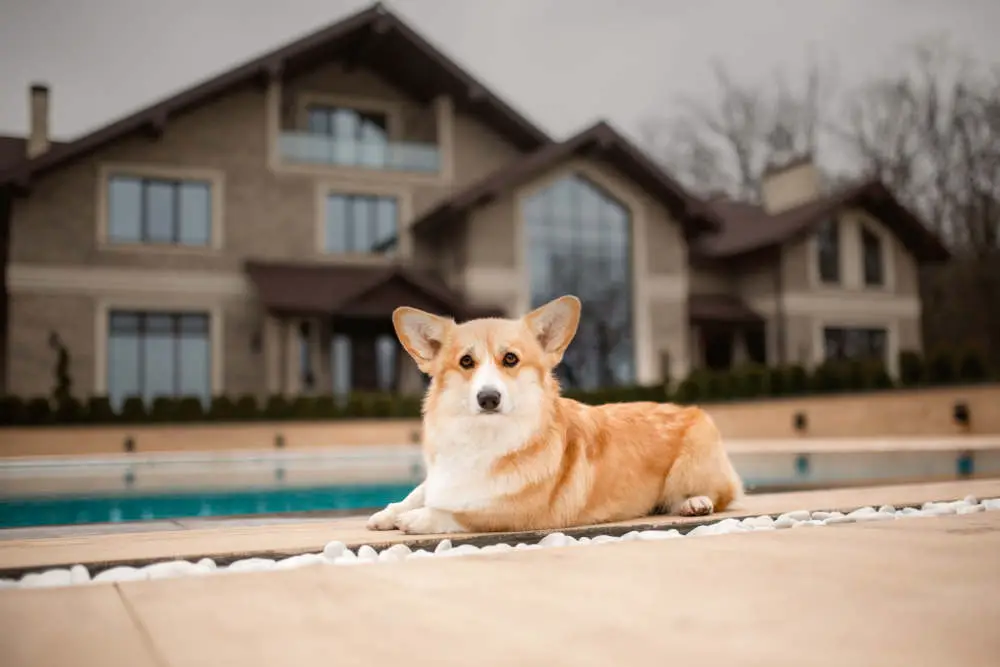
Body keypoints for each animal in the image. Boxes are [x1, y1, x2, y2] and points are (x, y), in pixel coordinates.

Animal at [368, 294, 744, 536]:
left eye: (510, 359)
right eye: (466, 361)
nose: (488, 398)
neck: (484, 439)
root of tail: (688, 408)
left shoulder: (516, 513)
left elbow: (458, 512)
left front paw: (416, 519)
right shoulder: (440, 478)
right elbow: (417, 493)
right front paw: (387, 514)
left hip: (692, 465)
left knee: (720, 494)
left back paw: (695, 502)